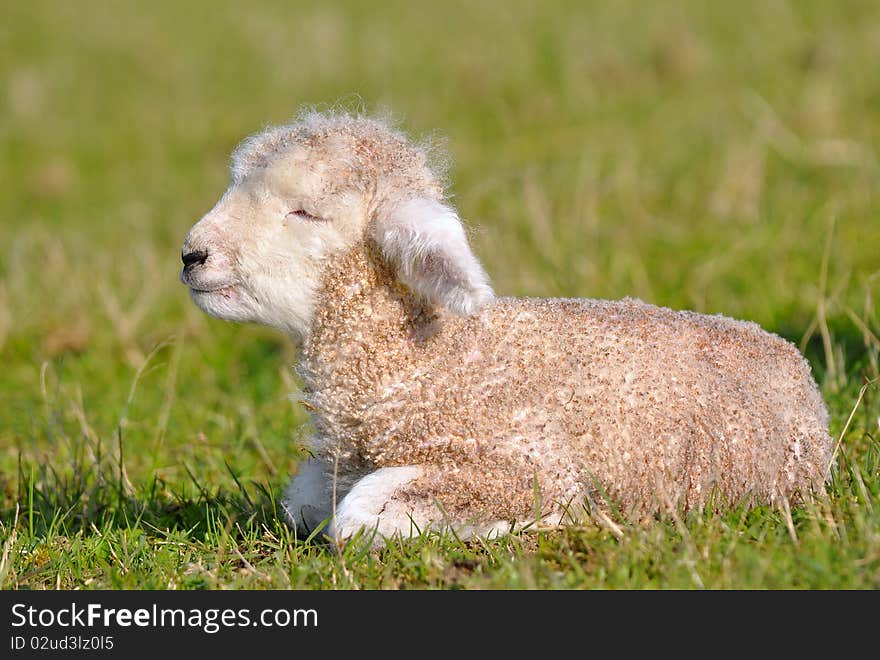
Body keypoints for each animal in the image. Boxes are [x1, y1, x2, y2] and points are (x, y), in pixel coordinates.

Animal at [177, 111, 832, 548]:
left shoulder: (524, 464)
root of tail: (800, 370)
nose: (192, 255)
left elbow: (356, 519)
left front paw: (551, 520)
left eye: (305, 212)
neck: (430, 362)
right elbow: (306, 505)